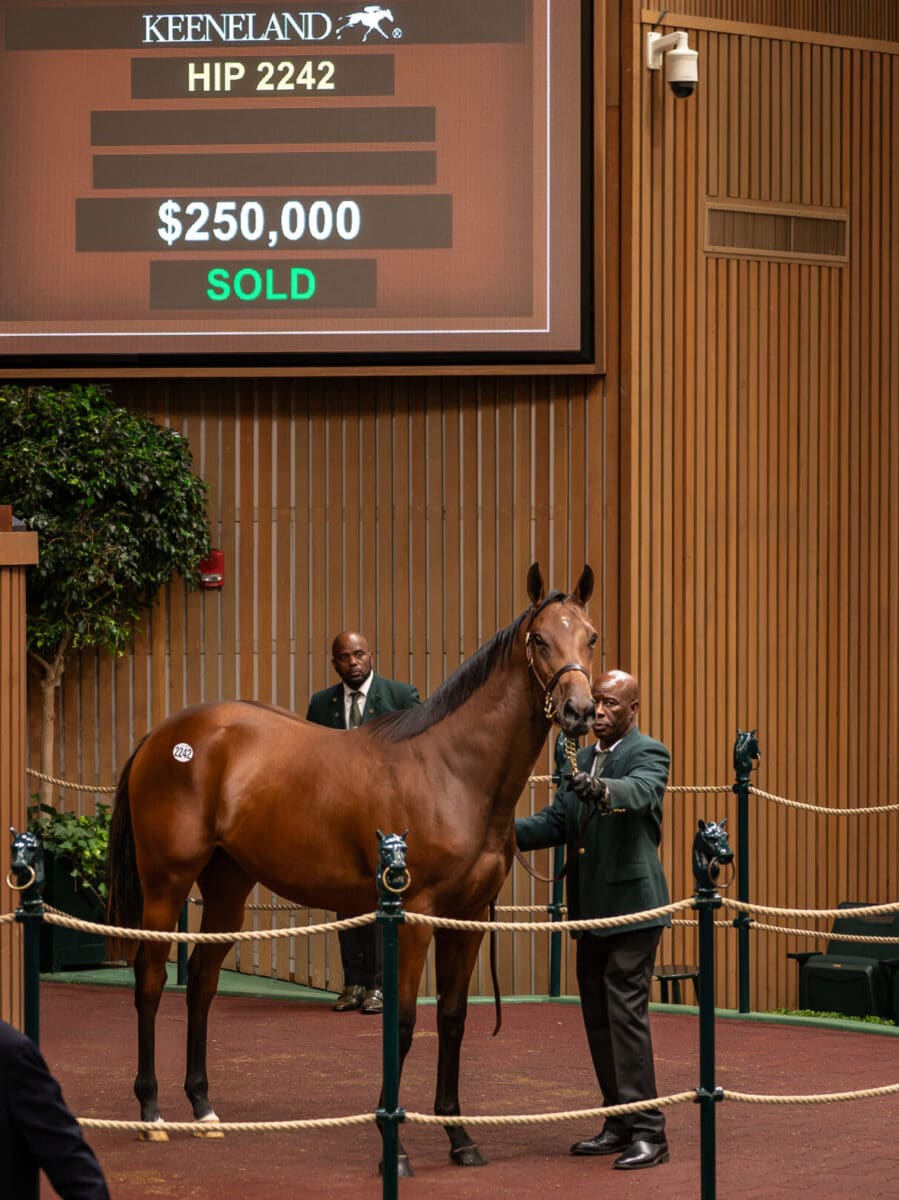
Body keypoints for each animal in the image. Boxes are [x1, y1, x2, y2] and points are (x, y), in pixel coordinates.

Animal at [106, 561, 595, 1171]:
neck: (453, 771)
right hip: (166, 884)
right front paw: (396, 1149)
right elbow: (404, 1025)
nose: (580, 712)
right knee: (150, 981)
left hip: (227, 886)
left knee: (200, 982)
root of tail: (164, 735)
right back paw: (150, 1113)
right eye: (540, 640)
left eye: (590, 636)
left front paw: (460, 1138)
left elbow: (452, 1020)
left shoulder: (468, 919)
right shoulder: (414, 918)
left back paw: (203, 1110)